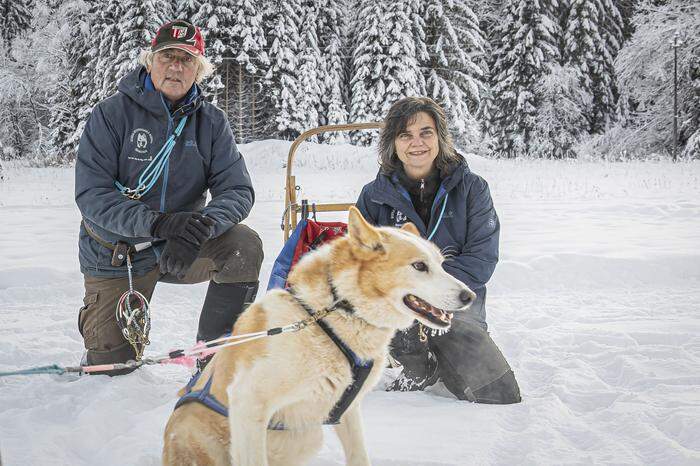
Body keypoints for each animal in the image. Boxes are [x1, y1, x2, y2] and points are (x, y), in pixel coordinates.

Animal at [161, 208, 476, 466]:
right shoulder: (247, 402)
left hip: (306, 439)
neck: (330, 318)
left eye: (441, 263)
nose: (469, 296)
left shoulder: (348, 411)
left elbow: (359, 456)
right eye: (419, 266)